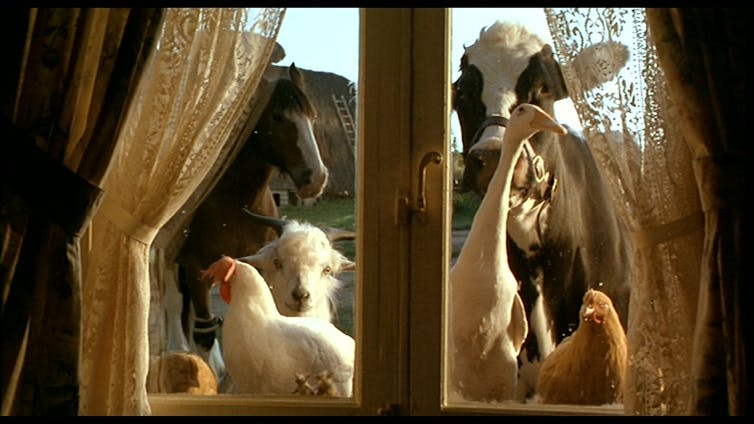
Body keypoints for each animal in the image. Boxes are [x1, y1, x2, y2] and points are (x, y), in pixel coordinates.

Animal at [178, 63, 328, 352]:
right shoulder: (194, 268)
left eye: (313, 116)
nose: (315, 178)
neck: (237, 204)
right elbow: (205, 334)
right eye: (278, 117)